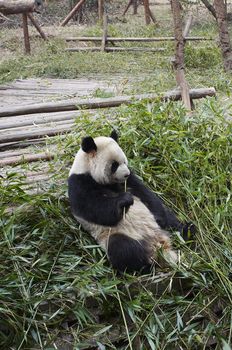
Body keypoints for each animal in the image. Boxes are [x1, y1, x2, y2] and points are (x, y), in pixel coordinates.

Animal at [69, 131, 194, 274]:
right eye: (114, 165)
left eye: (124, 161)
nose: (126, 174)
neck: (86, 169)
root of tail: (159, 244)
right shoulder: (79, 184)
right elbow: (96, 208)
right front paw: (125, 199)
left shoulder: (130, 182)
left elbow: (145, 193)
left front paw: (158, 216)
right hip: (115, 234)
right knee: (123, 249)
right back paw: (146, 265)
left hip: (163, 228)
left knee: (172, 222)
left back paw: (189, 230)